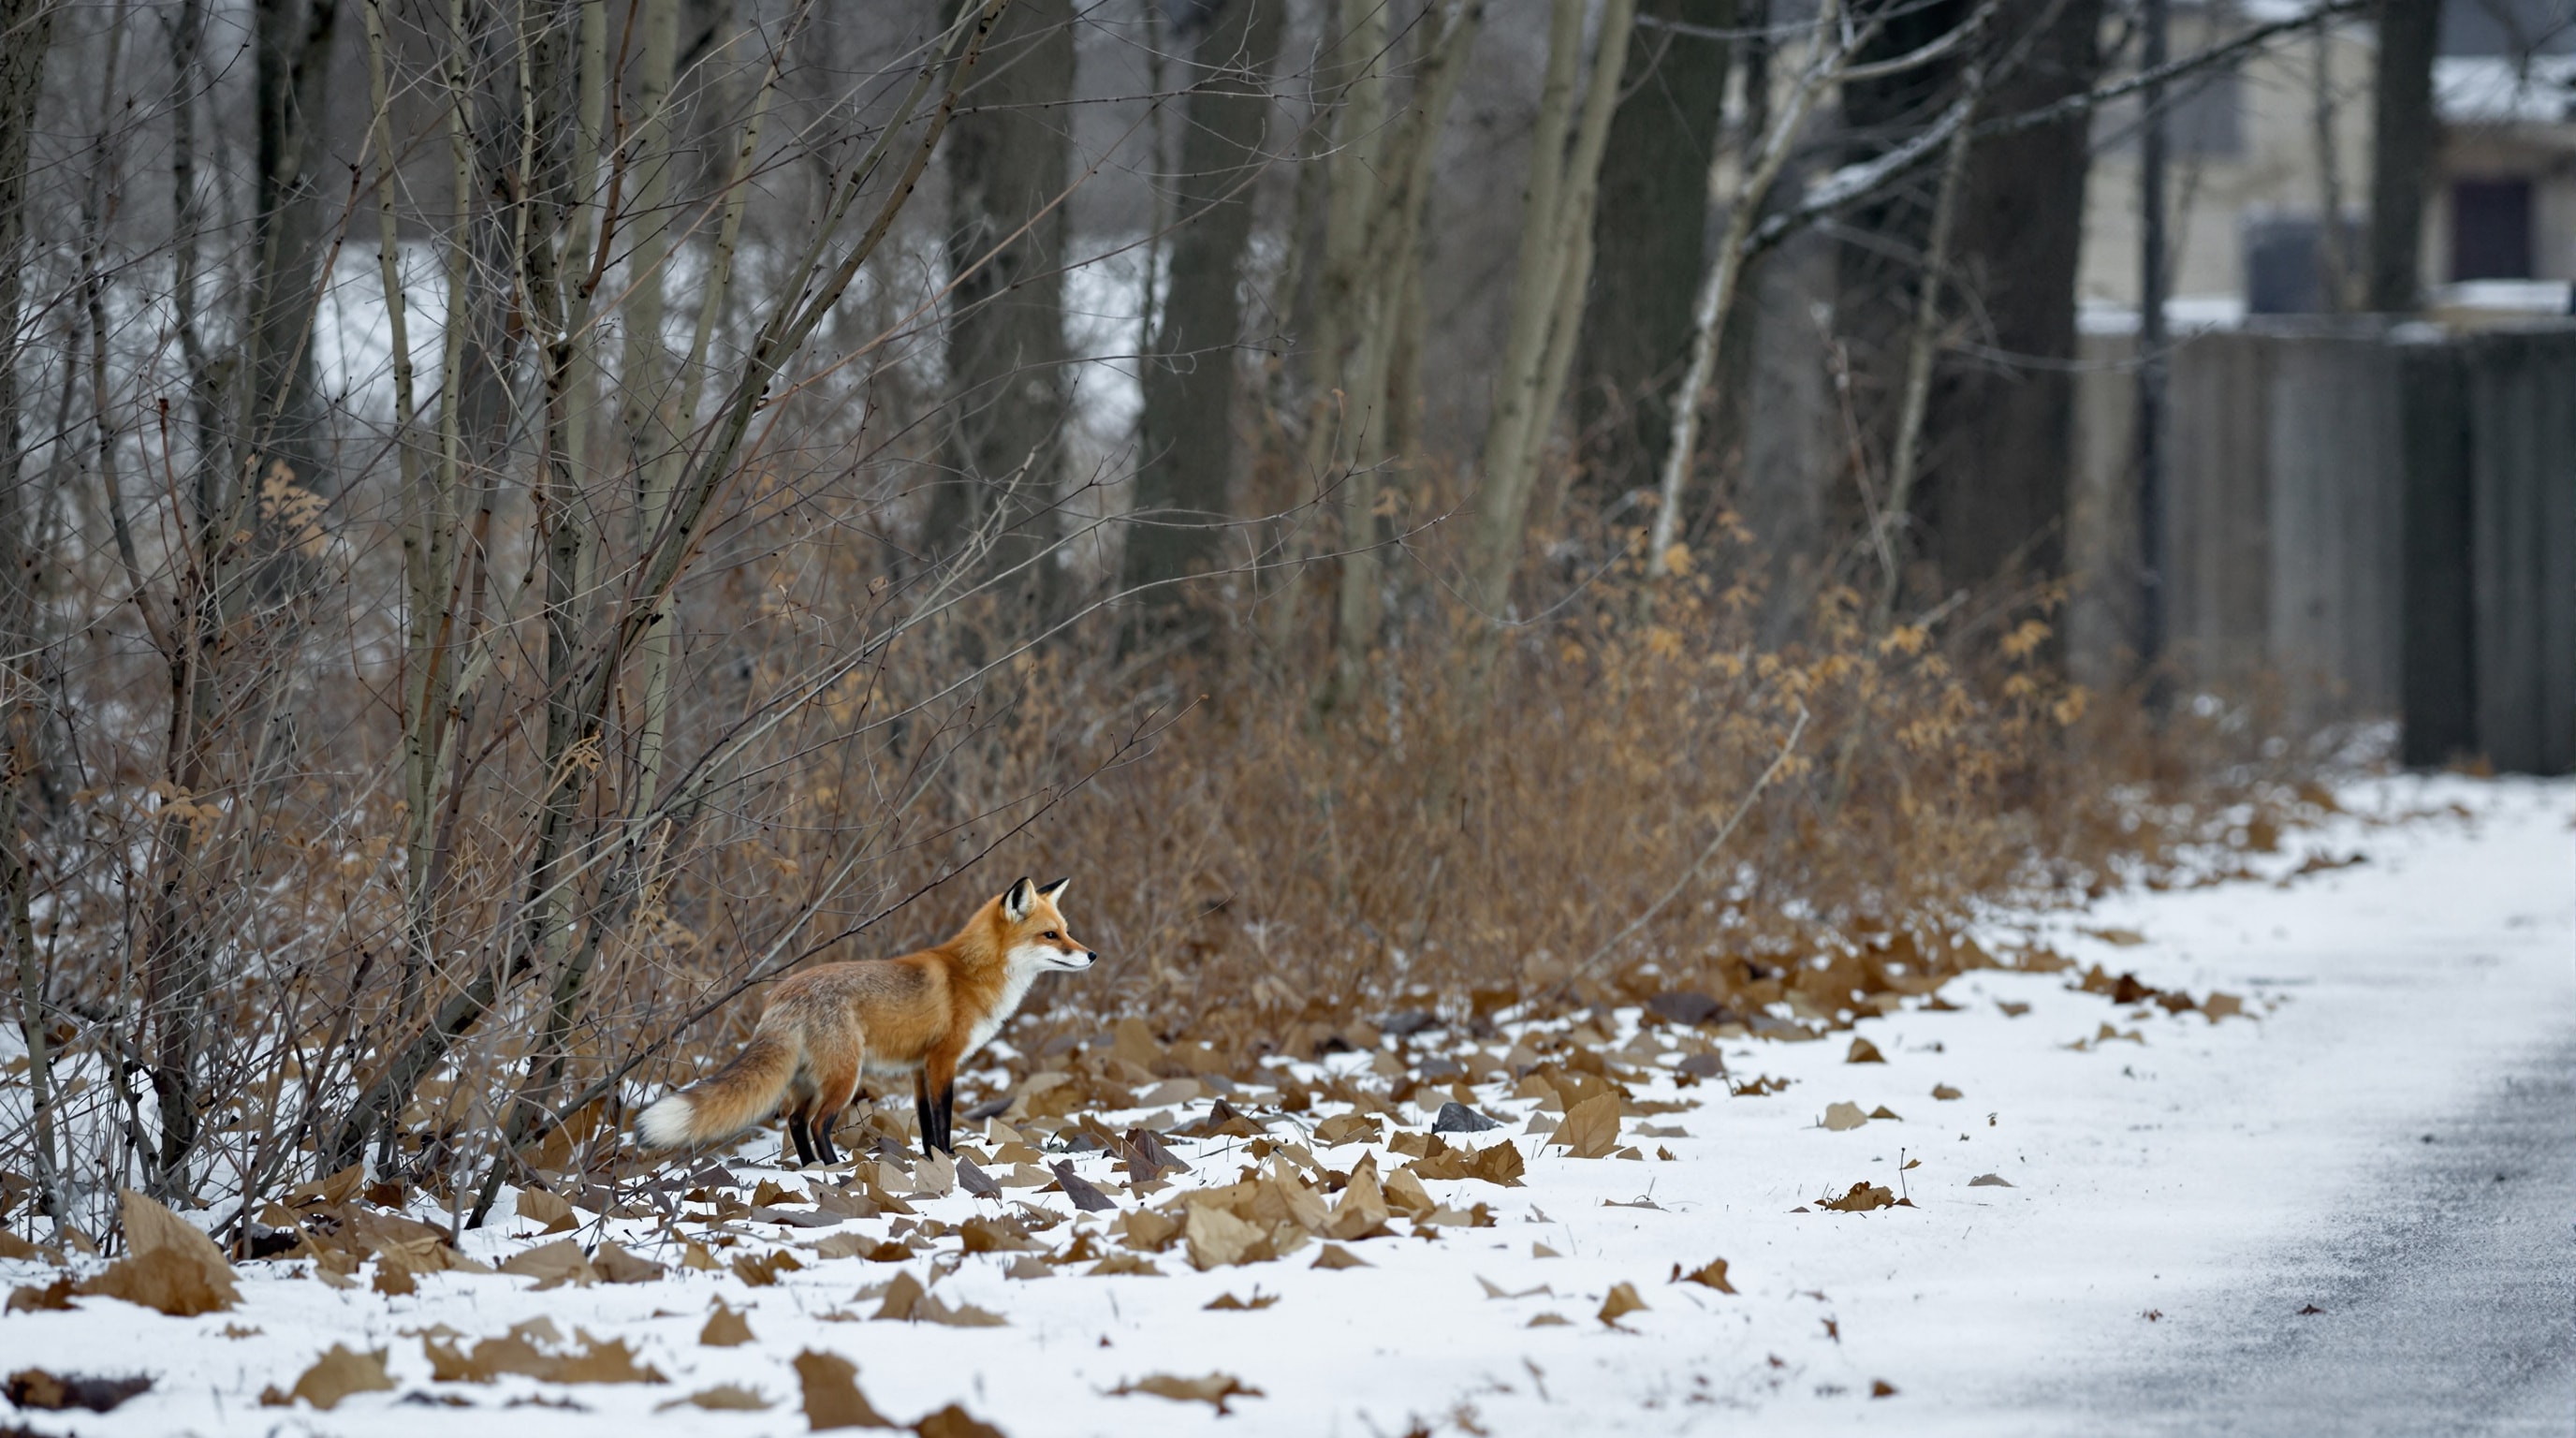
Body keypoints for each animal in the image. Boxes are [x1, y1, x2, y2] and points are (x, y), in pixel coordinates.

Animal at [635, 876, 1096, 1163]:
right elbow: (944, 1119)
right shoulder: (942, 1061)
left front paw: (932, 1161)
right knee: (818, 1123)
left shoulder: (918, 1069)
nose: (1091, 954)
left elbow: (926, 1124)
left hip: (810, 1078)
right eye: (1050, 935)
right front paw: (949, 1158)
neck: (970, 974)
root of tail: (781, 994)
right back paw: (834, 1171)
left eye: (1067, 930)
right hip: (845, 1075)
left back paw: (811, 1169)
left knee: (797, 1122)